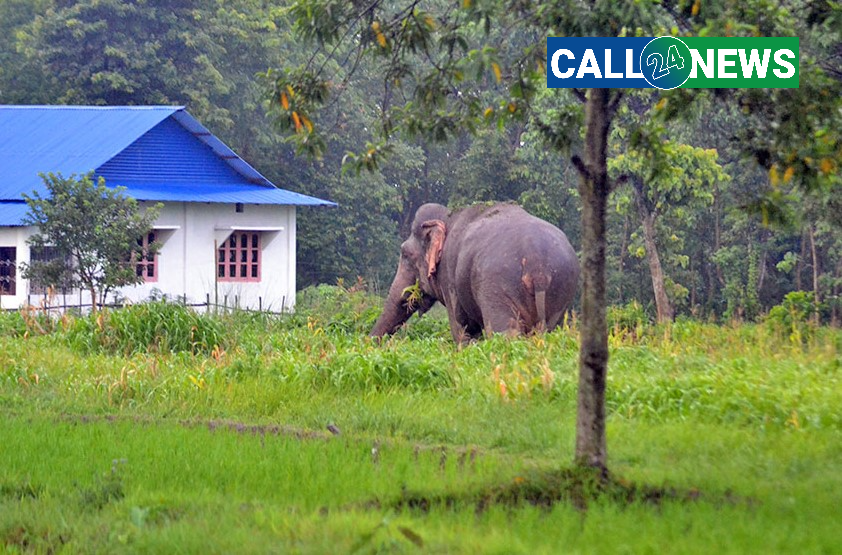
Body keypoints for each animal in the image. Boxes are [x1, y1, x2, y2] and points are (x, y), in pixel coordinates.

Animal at [372, 204, 576, 344]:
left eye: (405, 254)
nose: (371, 344)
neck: (448, 217)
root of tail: (538, 267)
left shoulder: (448, 275)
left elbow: (461, 328)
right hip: (561, 290)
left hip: (497, 286)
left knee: (504, 332)